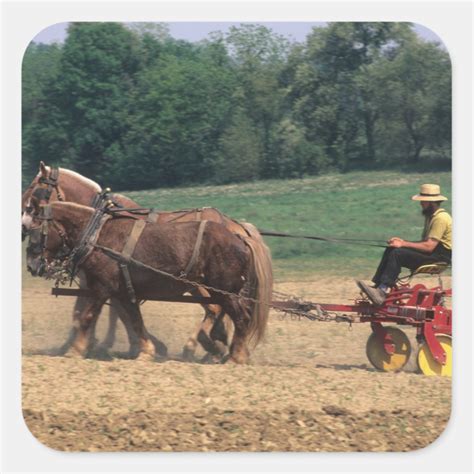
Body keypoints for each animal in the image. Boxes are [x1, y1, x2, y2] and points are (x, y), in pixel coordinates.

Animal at [21, 163, 274, 360]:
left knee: (219, 309)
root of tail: (238, 229)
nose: (23, 223)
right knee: (223, 311)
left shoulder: (99, 283)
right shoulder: (111, 284)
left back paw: (206, 346)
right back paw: (220, 346)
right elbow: (124, 315)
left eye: (36, 189)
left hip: (206, 285)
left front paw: (82, 346)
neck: (97, 228)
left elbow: (91, 314)